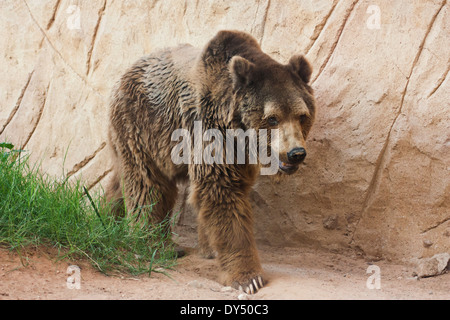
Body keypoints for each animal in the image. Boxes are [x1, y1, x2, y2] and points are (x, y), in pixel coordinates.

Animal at [106, 30, 316, 292]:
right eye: (272, 118)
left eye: (302, 115)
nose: (295, 153)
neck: (237, 126)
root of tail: (123, 74)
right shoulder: (210, 130)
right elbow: (221, 192)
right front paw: (248, 278)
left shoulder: (241, 155)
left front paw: (211, 250)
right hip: (142, 126)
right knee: (148, 184)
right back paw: (153, 243)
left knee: (120, 179)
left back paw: (108, 218)